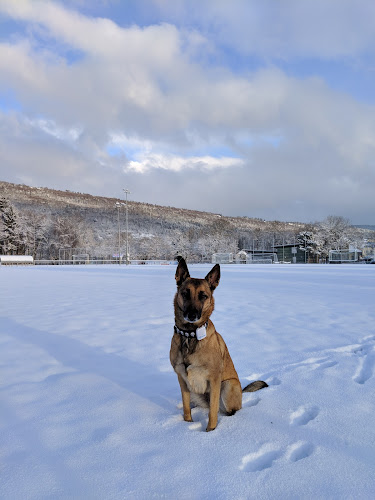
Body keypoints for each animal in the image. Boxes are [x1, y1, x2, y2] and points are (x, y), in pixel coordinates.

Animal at [170, 260, 268, 432]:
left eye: (203, 296)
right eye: (185, 293)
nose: (192, 315)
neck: (190, 335)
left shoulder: (215, 379)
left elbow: (213, 412)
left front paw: (210, 432)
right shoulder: (182, 379)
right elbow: (186, 407)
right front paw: (187, 424)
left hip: (228, 385)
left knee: (226, 410)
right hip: (194, 390)